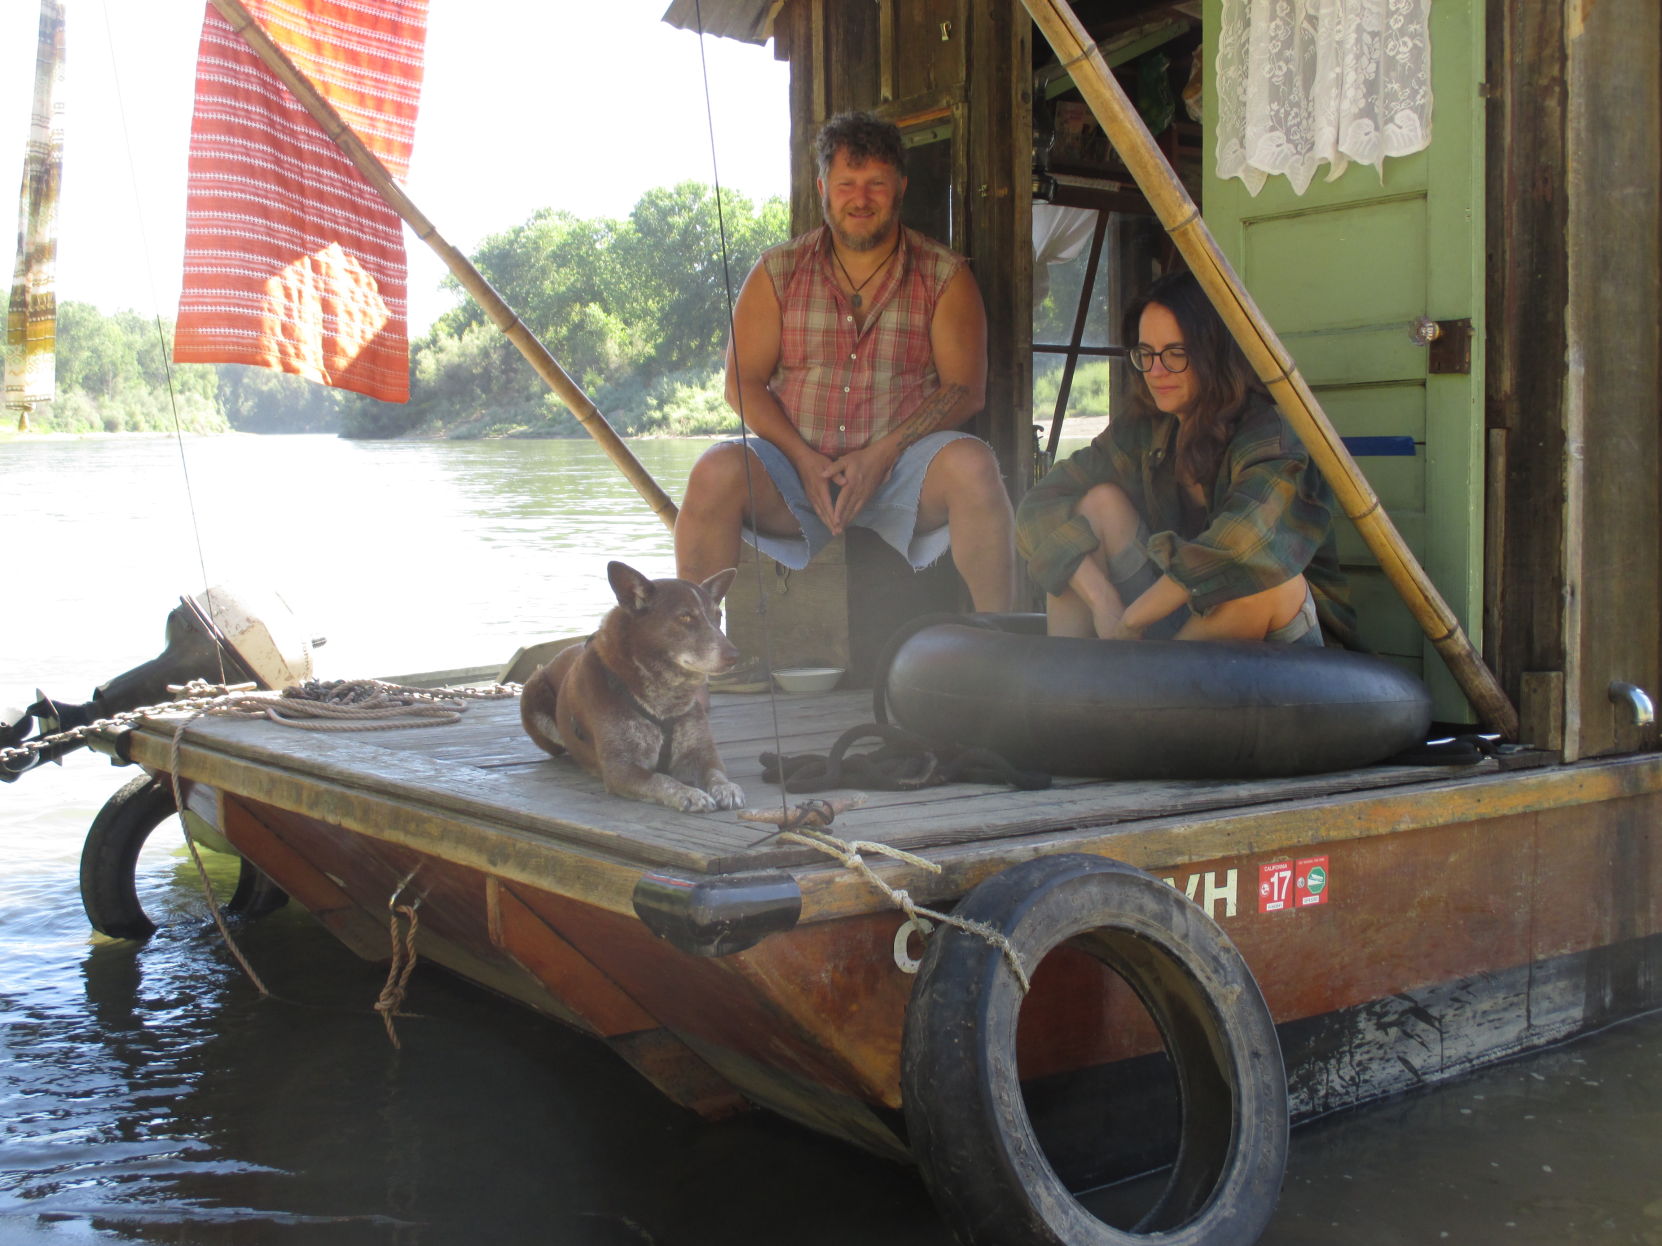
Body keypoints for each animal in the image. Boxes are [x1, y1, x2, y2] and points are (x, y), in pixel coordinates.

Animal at [518, 564, 747, 814]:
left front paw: (727, 788)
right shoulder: (621, 768)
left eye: (718, 616)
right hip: (533, 691)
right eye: (686, 617)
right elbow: (662, 780)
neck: (664, 697)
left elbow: (716, 773)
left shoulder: (702, 754)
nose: (735, 656)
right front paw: (690, 793)